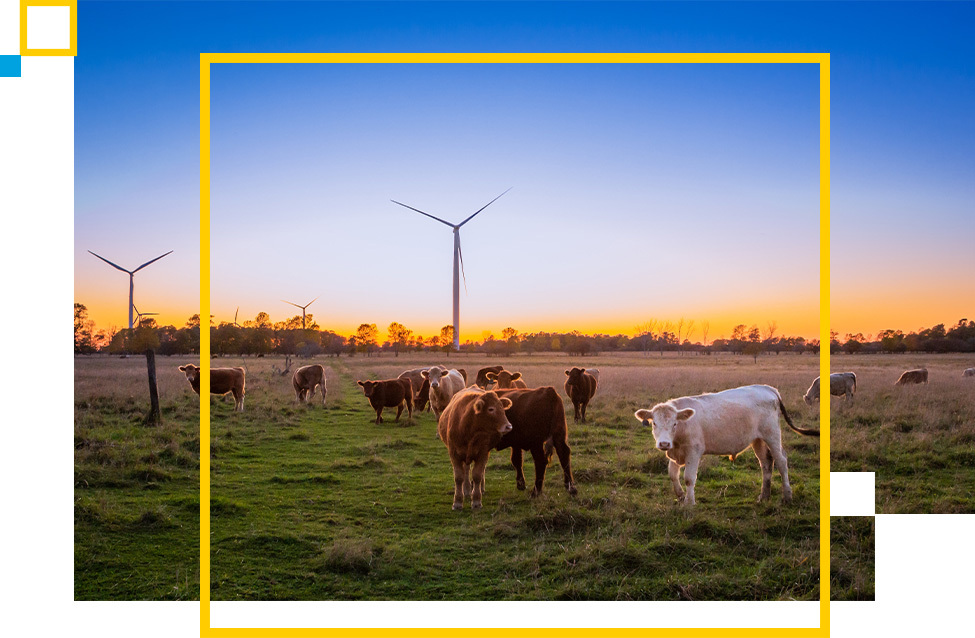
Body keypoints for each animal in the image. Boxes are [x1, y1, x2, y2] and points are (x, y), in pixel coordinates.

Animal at [636, 384, 820, 504]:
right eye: (654, 423)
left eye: (674, 423)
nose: (664, 443)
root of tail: (767, 388)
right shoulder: (676, 453)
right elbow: (673, 475)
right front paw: (681, 496)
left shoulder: (693, 452)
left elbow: (689, 478)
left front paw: (689, 503)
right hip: (758, 439)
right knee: (766, 463)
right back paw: (764, 496)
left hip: (772, 434)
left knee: (781, 461)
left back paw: (787, 496)